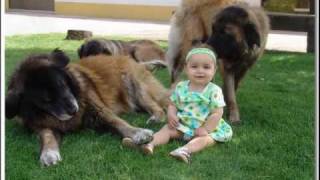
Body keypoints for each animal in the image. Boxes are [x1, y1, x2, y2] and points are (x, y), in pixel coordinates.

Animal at [5, 48, 170, 166]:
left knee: (159, 106)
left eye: (62, 85)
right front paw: (48, 153)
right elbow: (47, 134)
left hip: (136, 86)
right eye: (46, 100)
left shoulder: (97, 109)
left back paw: (156, 117)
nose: (74, 110)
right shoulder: (40, 124)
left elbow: (117, 121)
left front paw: (138, 133)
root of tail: (133, 61)